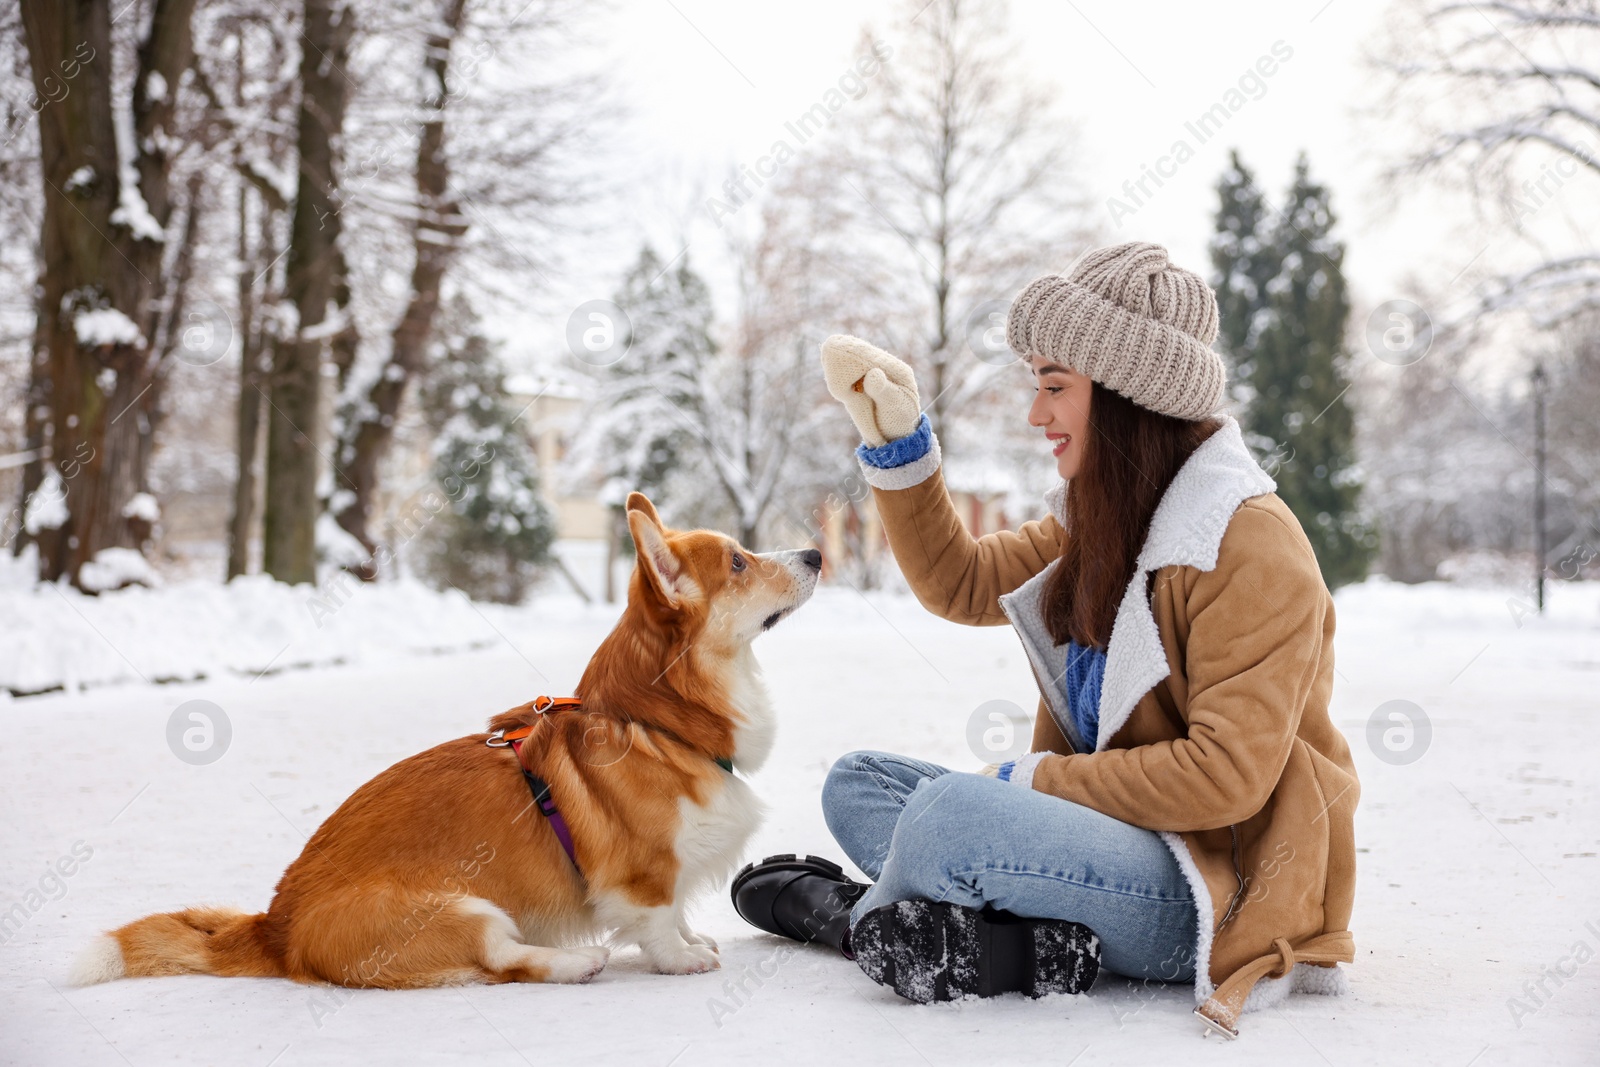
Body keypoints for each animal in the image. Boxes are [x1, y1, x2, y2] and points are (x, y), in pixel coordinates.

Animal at [72, 495, 825, 991]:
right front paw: (683, 956)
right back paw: (575, 962)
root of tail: (274, 927)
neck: (655, 720)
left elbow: (680, 914)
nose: (818, 552)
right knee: (504, 960)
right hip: (468, 908)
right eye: (739, 561)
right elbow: (659, 922)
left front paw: (697, 938)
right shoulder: (643, 877)